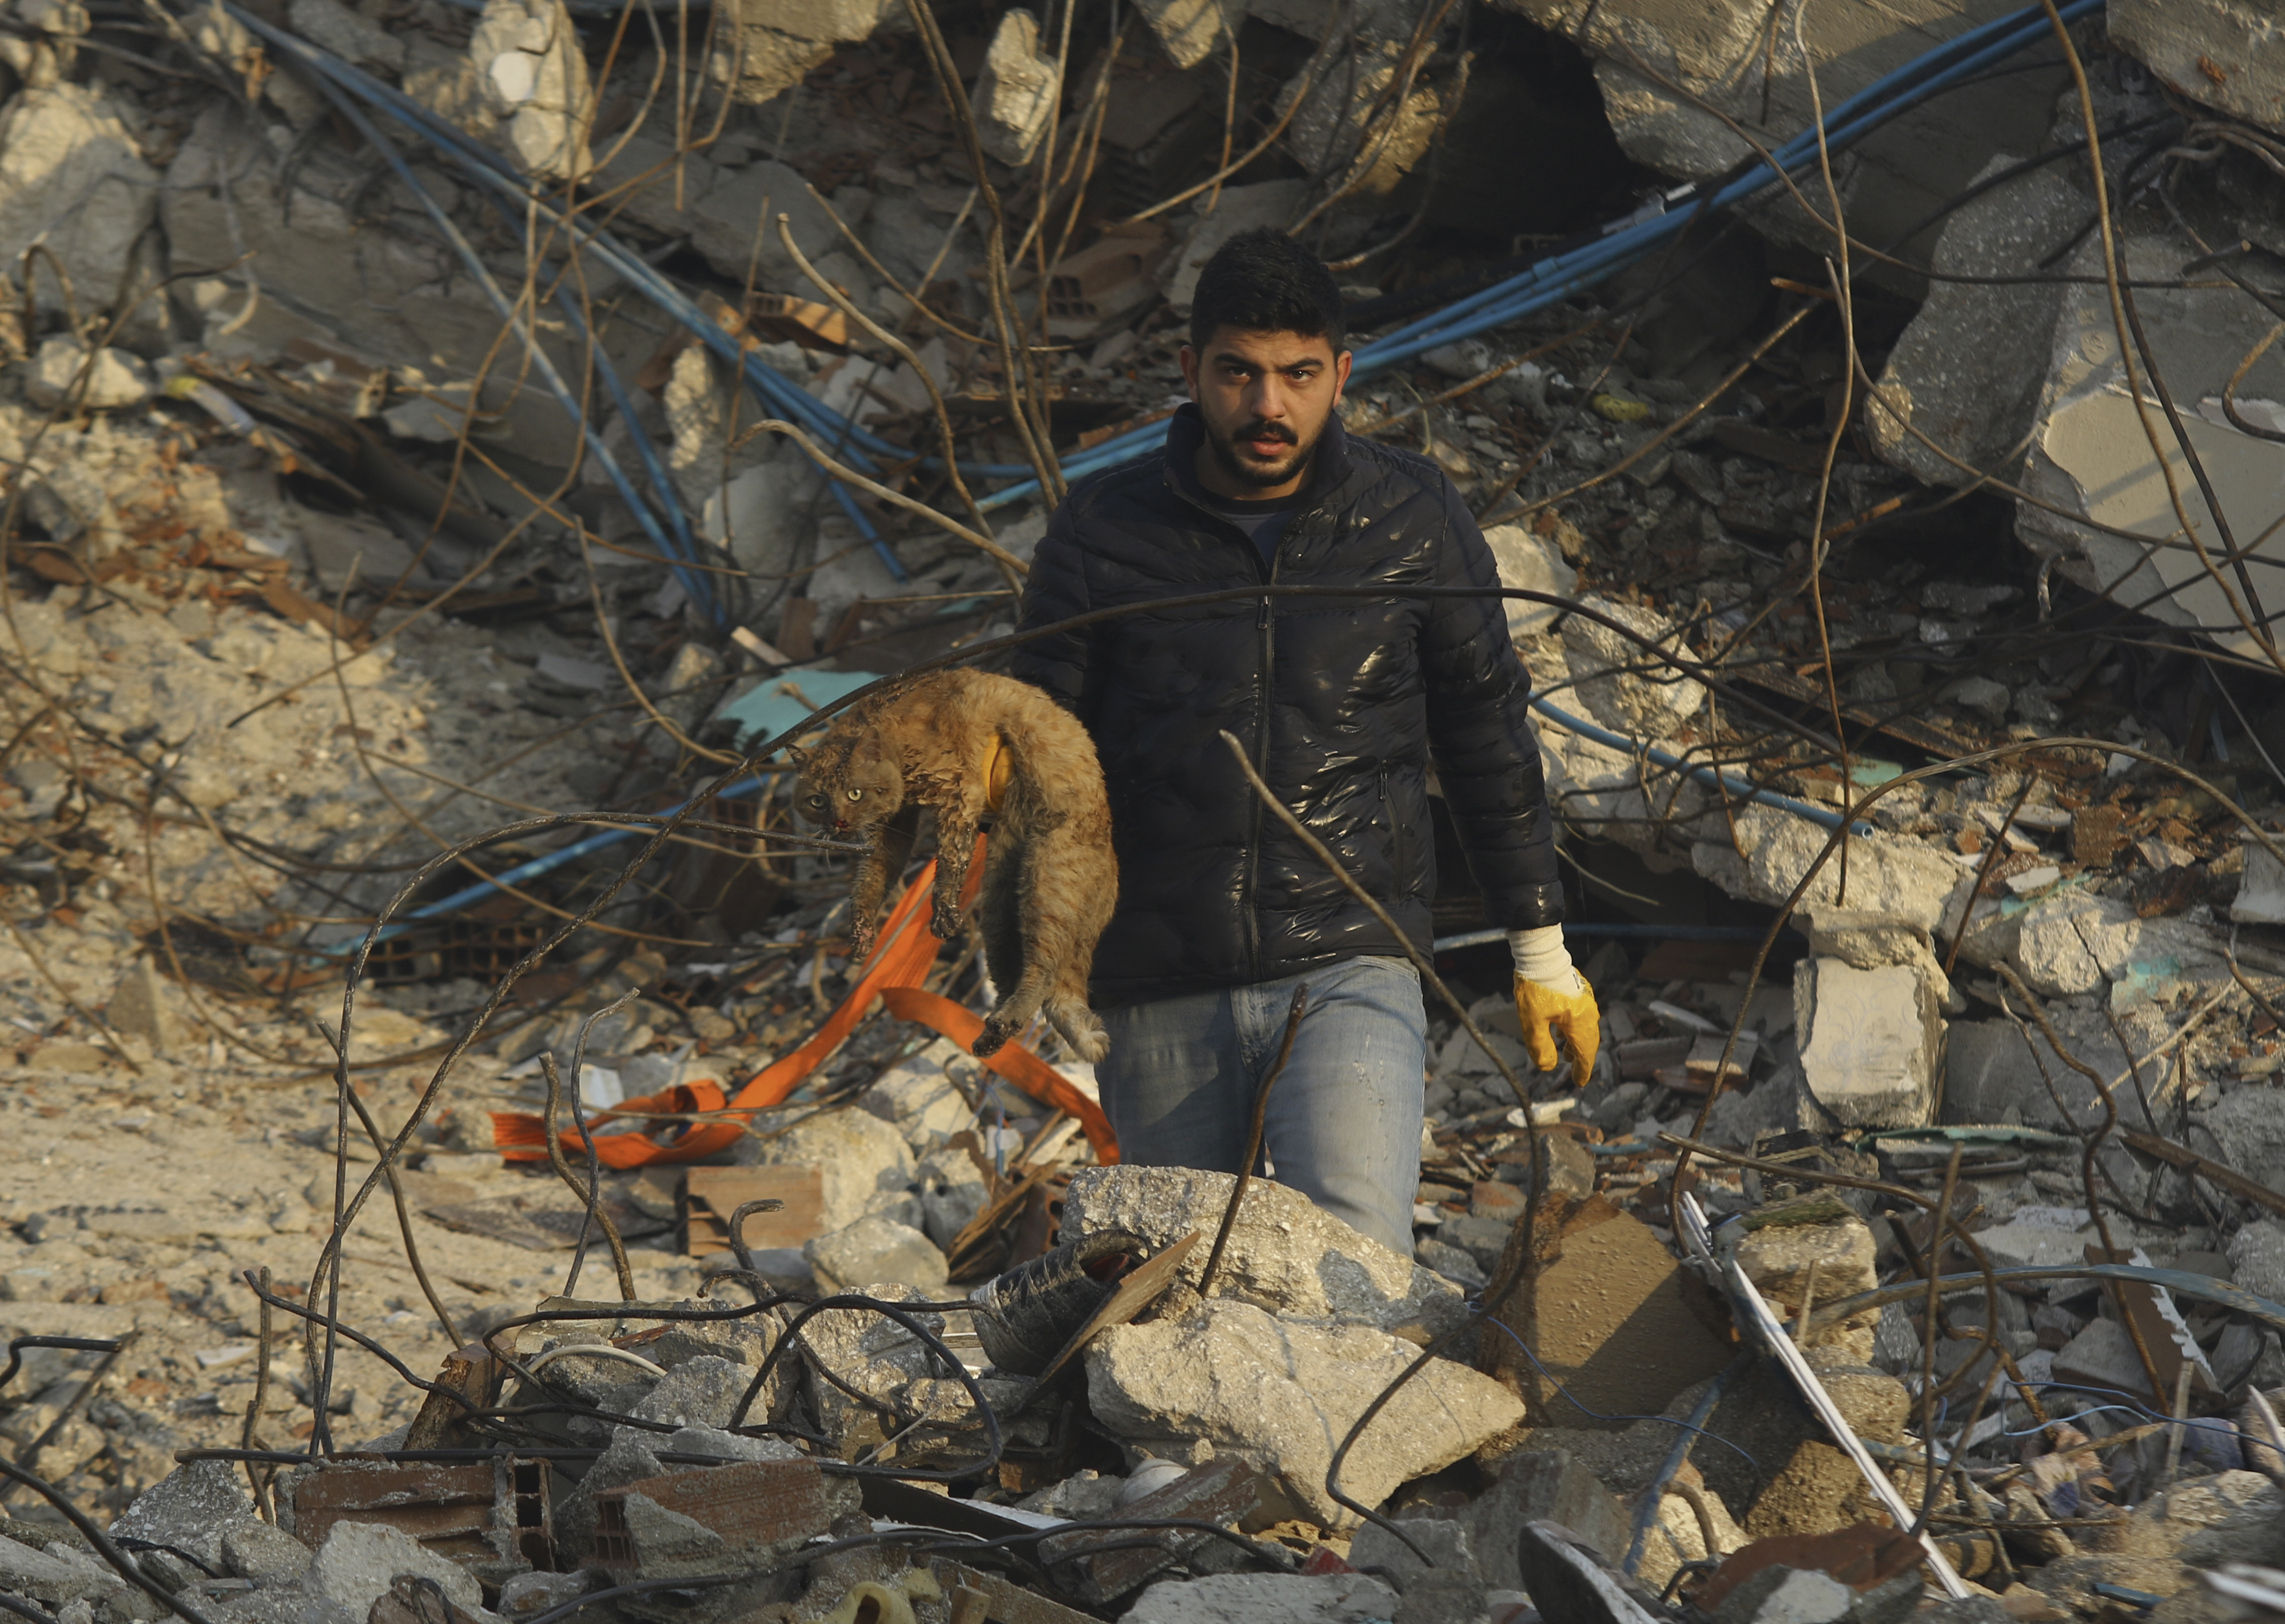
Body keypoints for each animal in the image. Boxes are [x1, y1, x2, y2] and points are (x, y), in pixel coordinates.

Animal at [790, 667, 1120, 1060]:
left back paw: (1006, 1021)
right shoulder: (894, 828)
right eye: (817, 801)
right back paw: (990, 1036)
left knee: (1043, 971)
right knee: (1022, 980)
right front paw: (863, 930)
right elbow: (872, 879)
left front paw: (942, 910)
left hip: (1047, 887)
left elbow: (950, 859)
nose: (839, 822)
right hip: (998, 906)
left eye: (854, 793)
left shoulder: (957, 792)